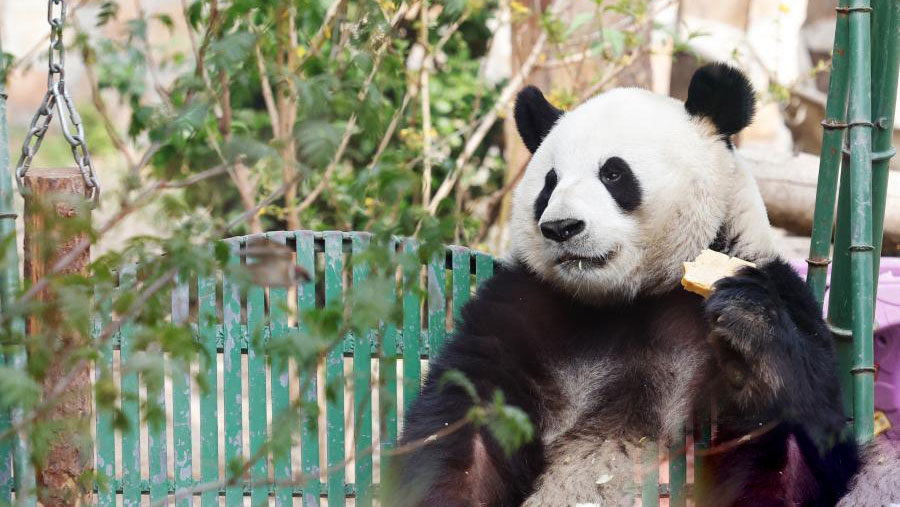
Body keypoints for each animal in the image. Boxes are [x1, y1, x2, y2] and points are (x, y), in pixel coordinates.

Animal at [384, 63, 900, 507]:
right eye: (549, 183)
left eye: (613, 173)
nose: (562, 228)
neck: (629, 298)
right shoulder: (522, 309)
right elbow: (464, 434)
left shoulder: (784, 296)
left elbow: (796, 452)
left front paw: (748, 329)